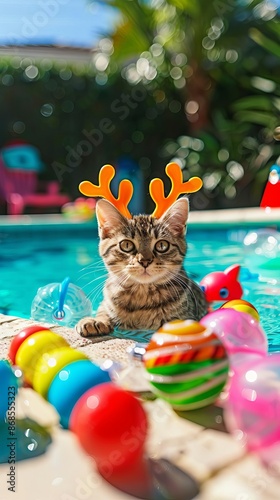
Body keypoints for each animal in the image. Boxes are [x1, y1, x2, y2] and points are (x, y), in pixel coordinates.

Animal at [76, 195, 208, 336]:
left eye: (162, 245)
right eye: (126, 245)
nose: (145, 261)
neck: (142, 295)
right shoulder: (106, 303)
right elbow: (103, 310)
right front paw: (95, 320)